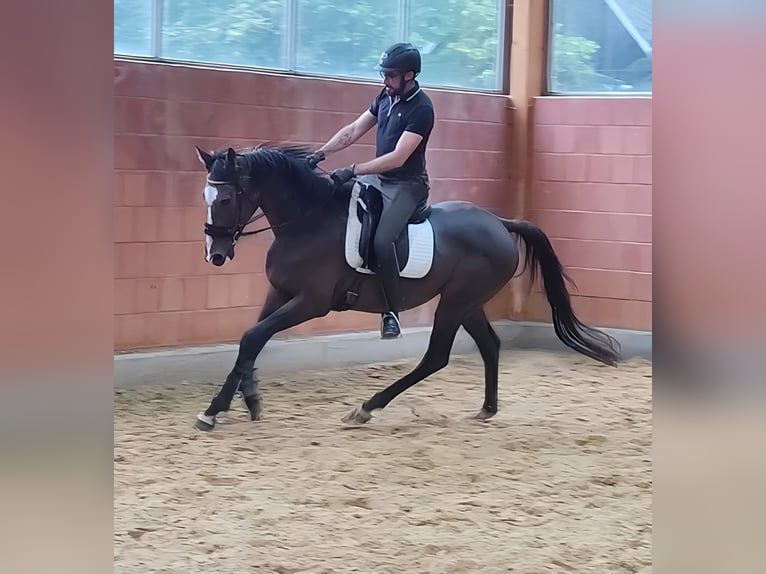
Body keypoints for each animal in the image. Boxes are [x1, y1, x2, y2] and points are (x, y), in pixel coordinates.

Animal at [192, 144, 624, 432]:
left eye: (226, 198)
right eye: (206, 196)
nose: (215, 254)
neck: (306, 221)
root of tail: (500, 223)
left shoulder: (310, 302)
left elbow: (253, 337)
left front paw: (220, 408)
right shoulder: (280, 293)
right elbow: (251, 339)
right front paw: (240, 400)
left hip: (454, 304)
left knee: (436, 357)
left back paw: (366, 408)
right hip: (468, 304)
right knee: (490, 345)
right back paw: (487, 408)